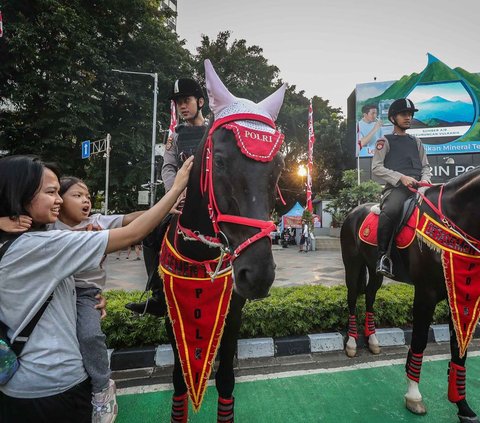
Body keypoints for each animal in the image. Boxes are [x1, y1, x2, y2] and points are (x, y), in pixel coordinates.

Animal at [156, 60, 286, 423]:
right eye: (222, 161)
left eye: (278, 165)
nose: (257, 274)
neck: (200, 256)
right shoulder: (172, 316)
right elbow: (180, 382)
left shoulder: (233, 314)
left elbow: (226, 379)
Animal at [340, 167, 480, 422]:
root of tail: (354, 211)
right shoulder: (425, 293)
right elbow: (419, 340)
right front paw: (413, 396)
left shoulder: (460, 293)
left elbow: (459, 350)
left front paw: (463, 406)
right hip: (352, 265)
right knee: (353, 298)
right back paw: (353, 342)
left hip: (375, 269)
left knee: (370, 296)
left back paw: (372, 340)